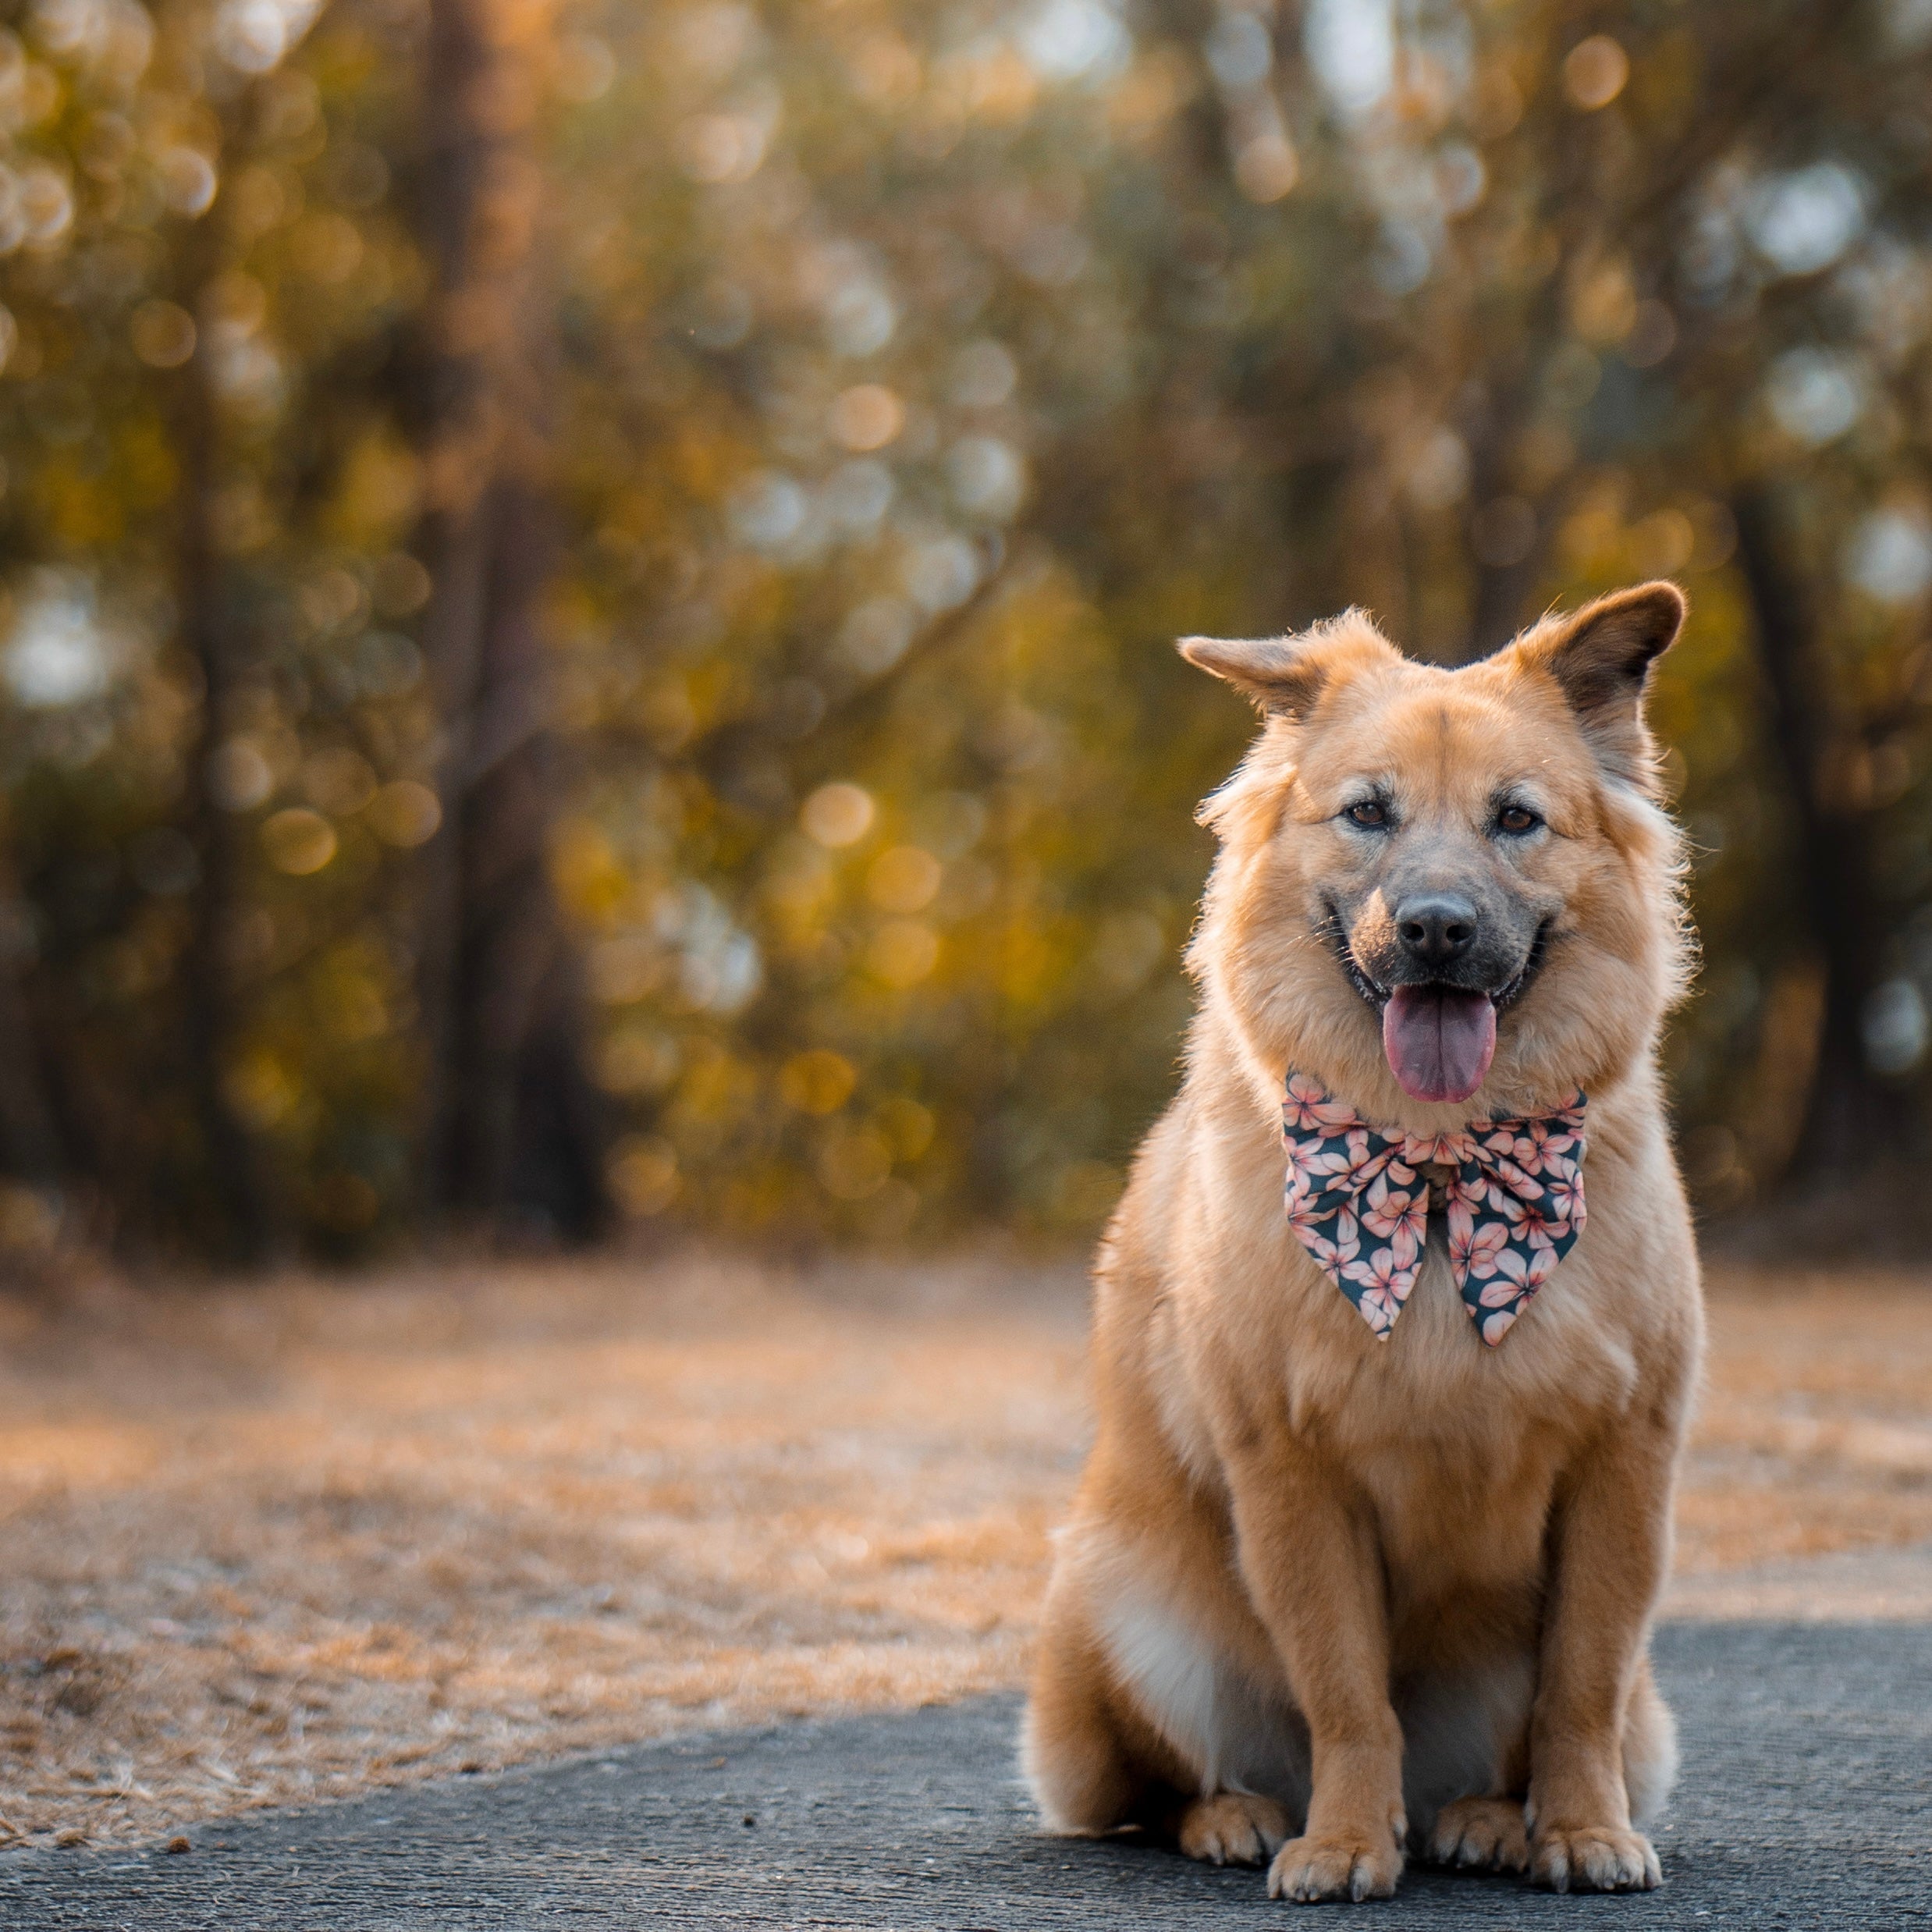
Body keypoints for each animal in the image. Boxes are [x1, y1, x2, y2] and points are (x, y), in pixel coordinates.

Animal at [1020, 575, 1699, 1901]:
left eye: (1517, 820)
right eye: (1369, 814)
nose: (1435, 930)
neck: (1436, 1173)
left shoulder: (1623, 1469)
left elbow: (1580, 1685)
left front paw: (1583, 1831)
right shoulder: (1292, 1473)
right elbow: (1344, 1689)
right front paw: (1341, 1842)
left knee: (1518, 1745)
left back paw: (1488, 1820)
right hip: (1125, 1611)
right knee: (1165, 1788)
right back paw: (1243, 1819)